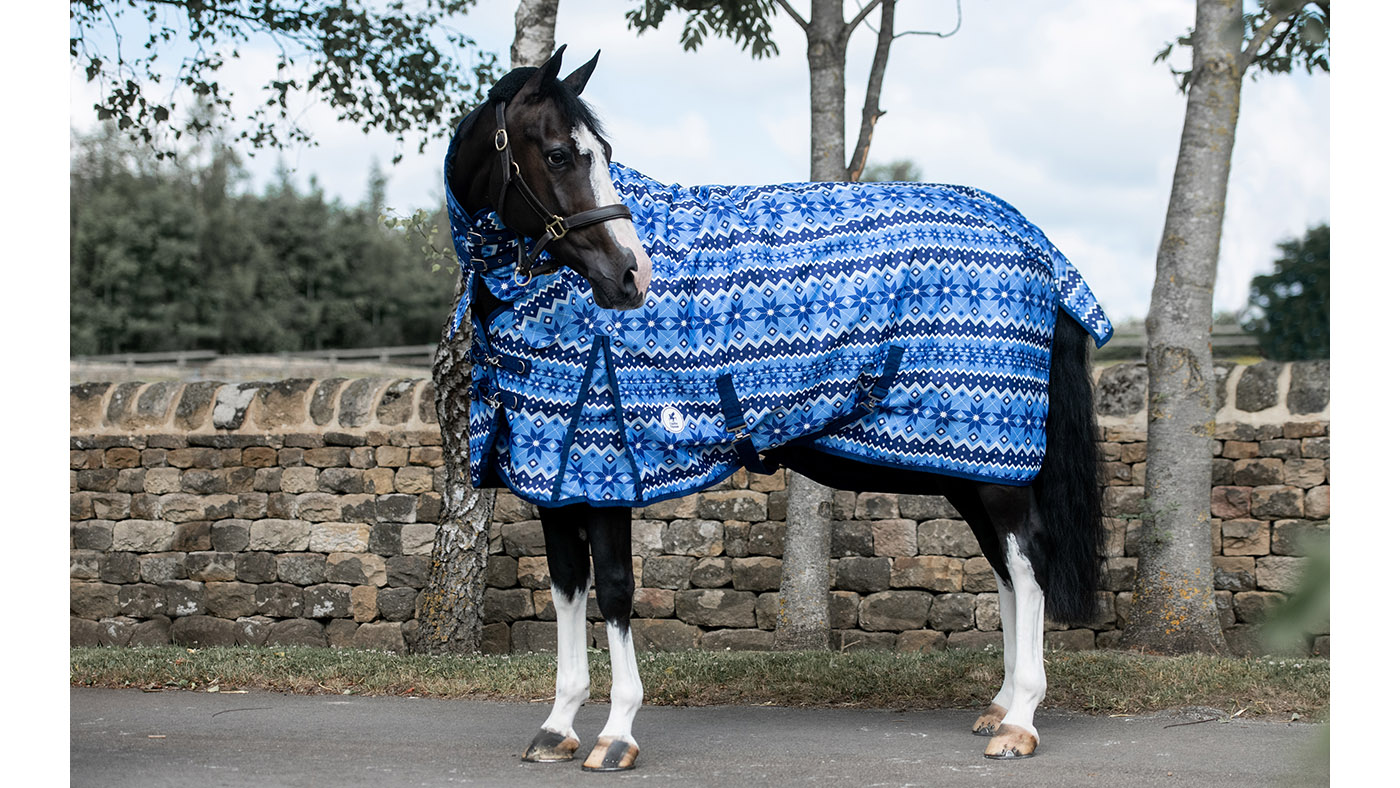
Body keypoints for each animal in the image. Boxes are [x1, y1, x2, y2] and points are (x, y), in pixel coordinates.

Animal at [443, 46, 1111, 769]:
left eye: (601, 152)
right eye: (561, 154)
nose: (631, 275)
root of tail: (1036, 244)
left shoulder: (606, 471)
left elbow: (616, 589)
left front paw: (618, 731)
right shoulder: (556, 478)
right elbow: (567, 587)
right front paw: (559, 723)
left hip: (998, 469)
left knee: (1029, 563)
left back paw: (1021, 719)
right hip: (971, 470)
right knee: (1008, 571)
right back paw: (1000, 705)